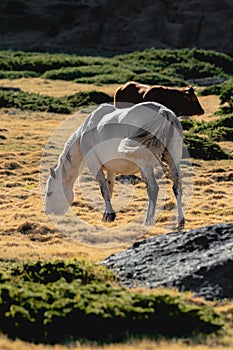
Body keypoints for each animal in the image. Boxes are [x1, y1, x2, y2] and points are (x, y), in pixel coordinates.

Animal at [44, 102, 185, 227]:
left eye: (49, 192)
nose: (48, 212)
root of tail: (163, 112)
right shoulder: (110, 169)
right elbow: (110, 188)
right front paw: (106, 215)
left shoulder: (94, 165)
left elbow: (104, 190)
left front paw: (110, 215)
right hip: (173, 160)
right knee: (177, 187)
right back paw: (180, 220)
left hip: (144, 164)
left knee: (153, 189)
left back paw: (148, 221)